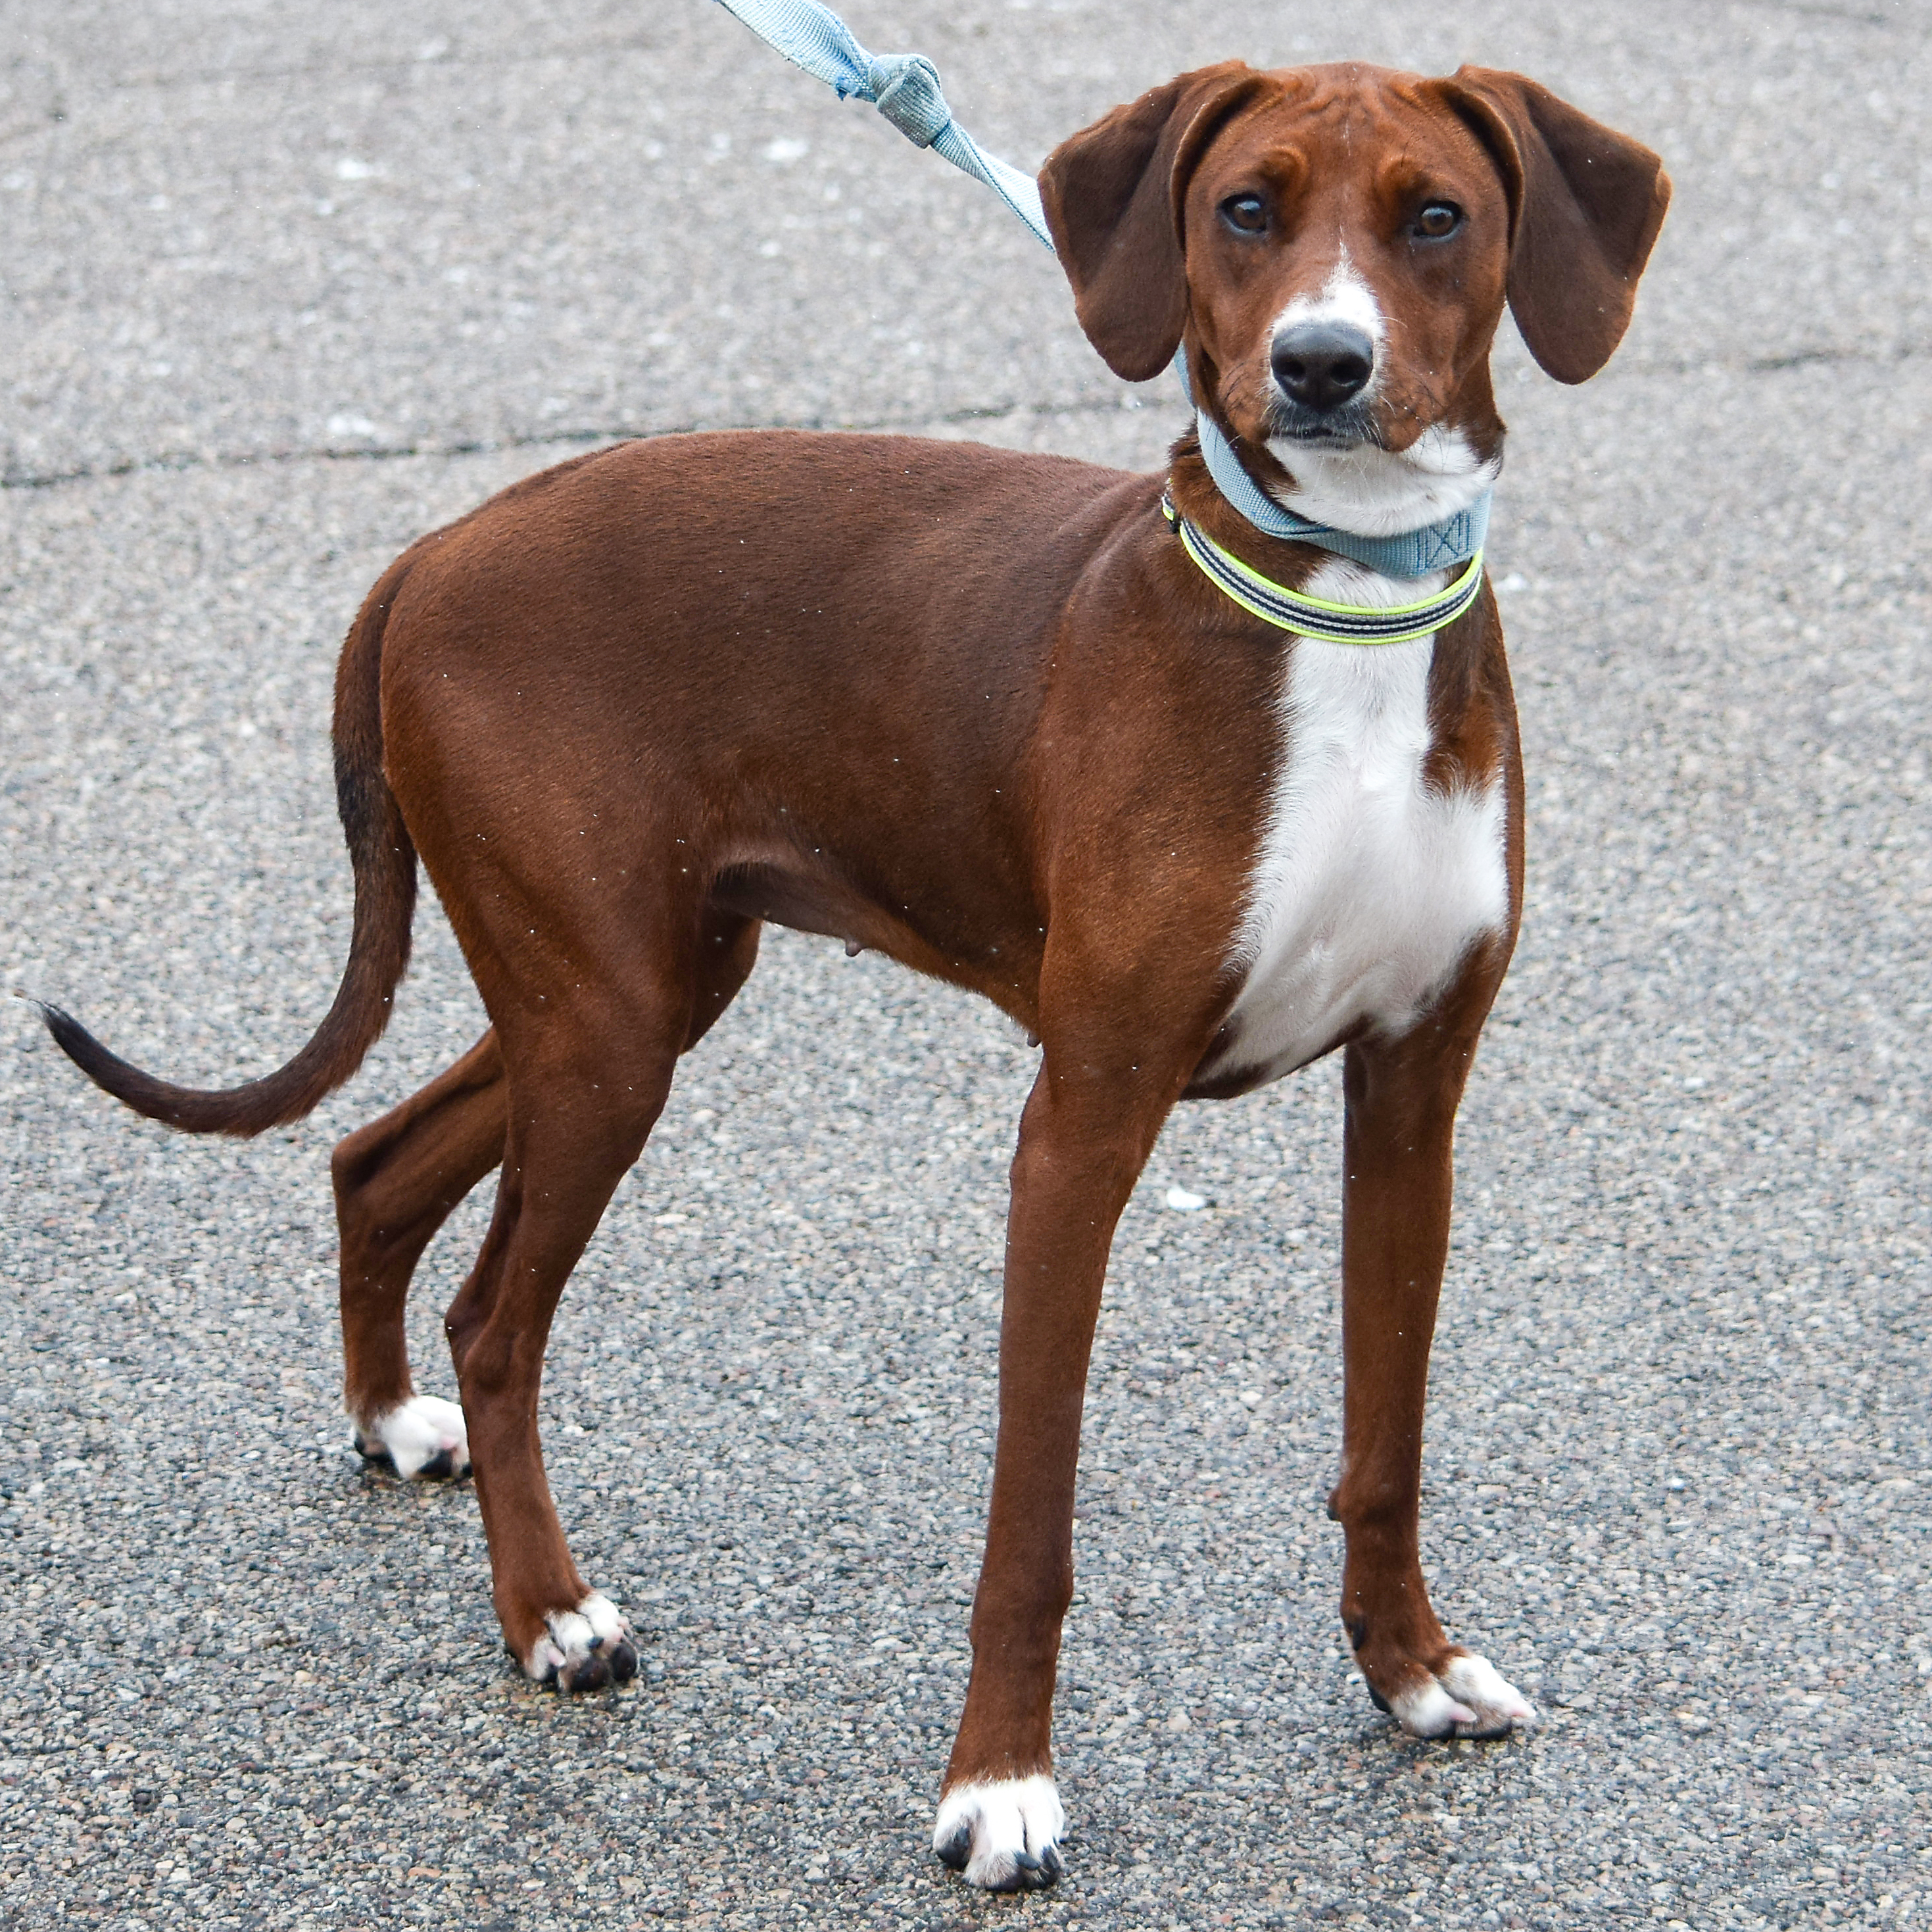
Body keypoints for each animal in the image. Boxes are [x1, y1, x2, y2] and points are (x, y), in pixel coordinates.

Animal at [53, 56, 1669, 1885]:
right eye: (1246, 207)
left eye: (1434, 216)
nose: (1319, 365)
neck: (1339, 606)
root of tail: (432, 549)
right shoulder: (1081, 1122)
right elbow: (1029, 1516)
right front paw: (997, 1786)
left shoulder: (1409, 1095)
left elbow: (1383, 1439)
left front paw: (1405, 1669)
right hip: (607, 1030)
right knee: (493, 1315)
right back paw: (549, 1614)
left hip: (627, 991)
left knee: (371, 1159)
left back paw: (392, 1419)